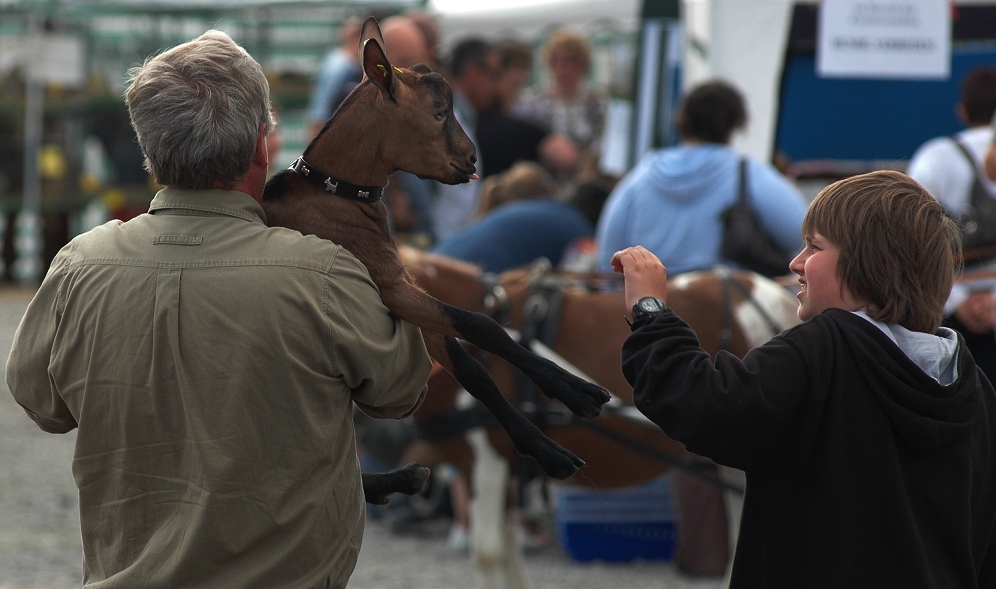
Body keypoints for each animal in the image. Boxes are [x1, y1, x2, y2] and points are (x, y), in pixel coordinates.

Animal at [260, 18, 612, 480]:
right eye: (440, 112)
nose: (472, 158)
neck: (330, 195)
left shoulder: (404, 301)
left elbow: (472, 365)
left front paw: (565, 406)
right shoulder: (388, 287)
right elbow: (482, 324)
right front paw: (561, 428)